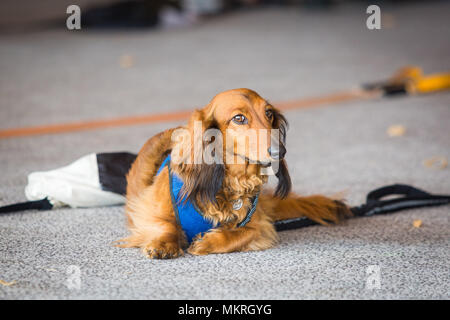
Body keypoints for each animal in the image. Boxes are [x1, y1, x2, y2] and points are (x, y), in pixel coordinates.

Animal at [118, 89, 350, 258]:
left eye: (269, 113)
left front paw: (208, 242)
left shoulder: (259, 225)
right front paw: (164, 244)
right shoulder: (146, 209)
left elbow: (244, 233)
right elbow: (166, 224)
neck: (232, 182)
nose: (280, 151)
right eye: (239, 118)